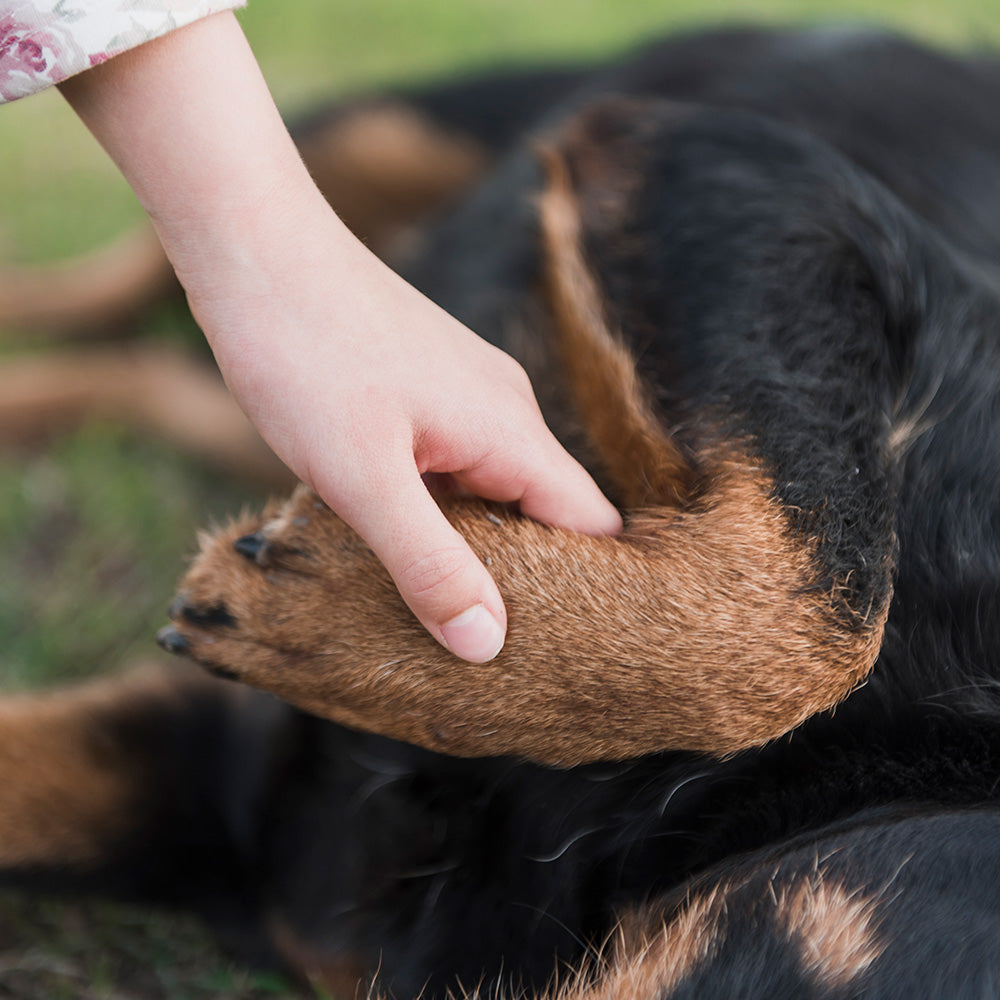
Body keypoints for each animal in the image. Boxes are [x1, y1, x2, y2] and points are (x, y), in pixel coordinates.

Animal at [1, 25, 1000, 1000]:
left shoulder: (228, 797)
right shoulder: (741, 179)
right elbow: (824, 606)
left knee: (142, 373)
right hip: (383, 139)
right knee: (117, 277)